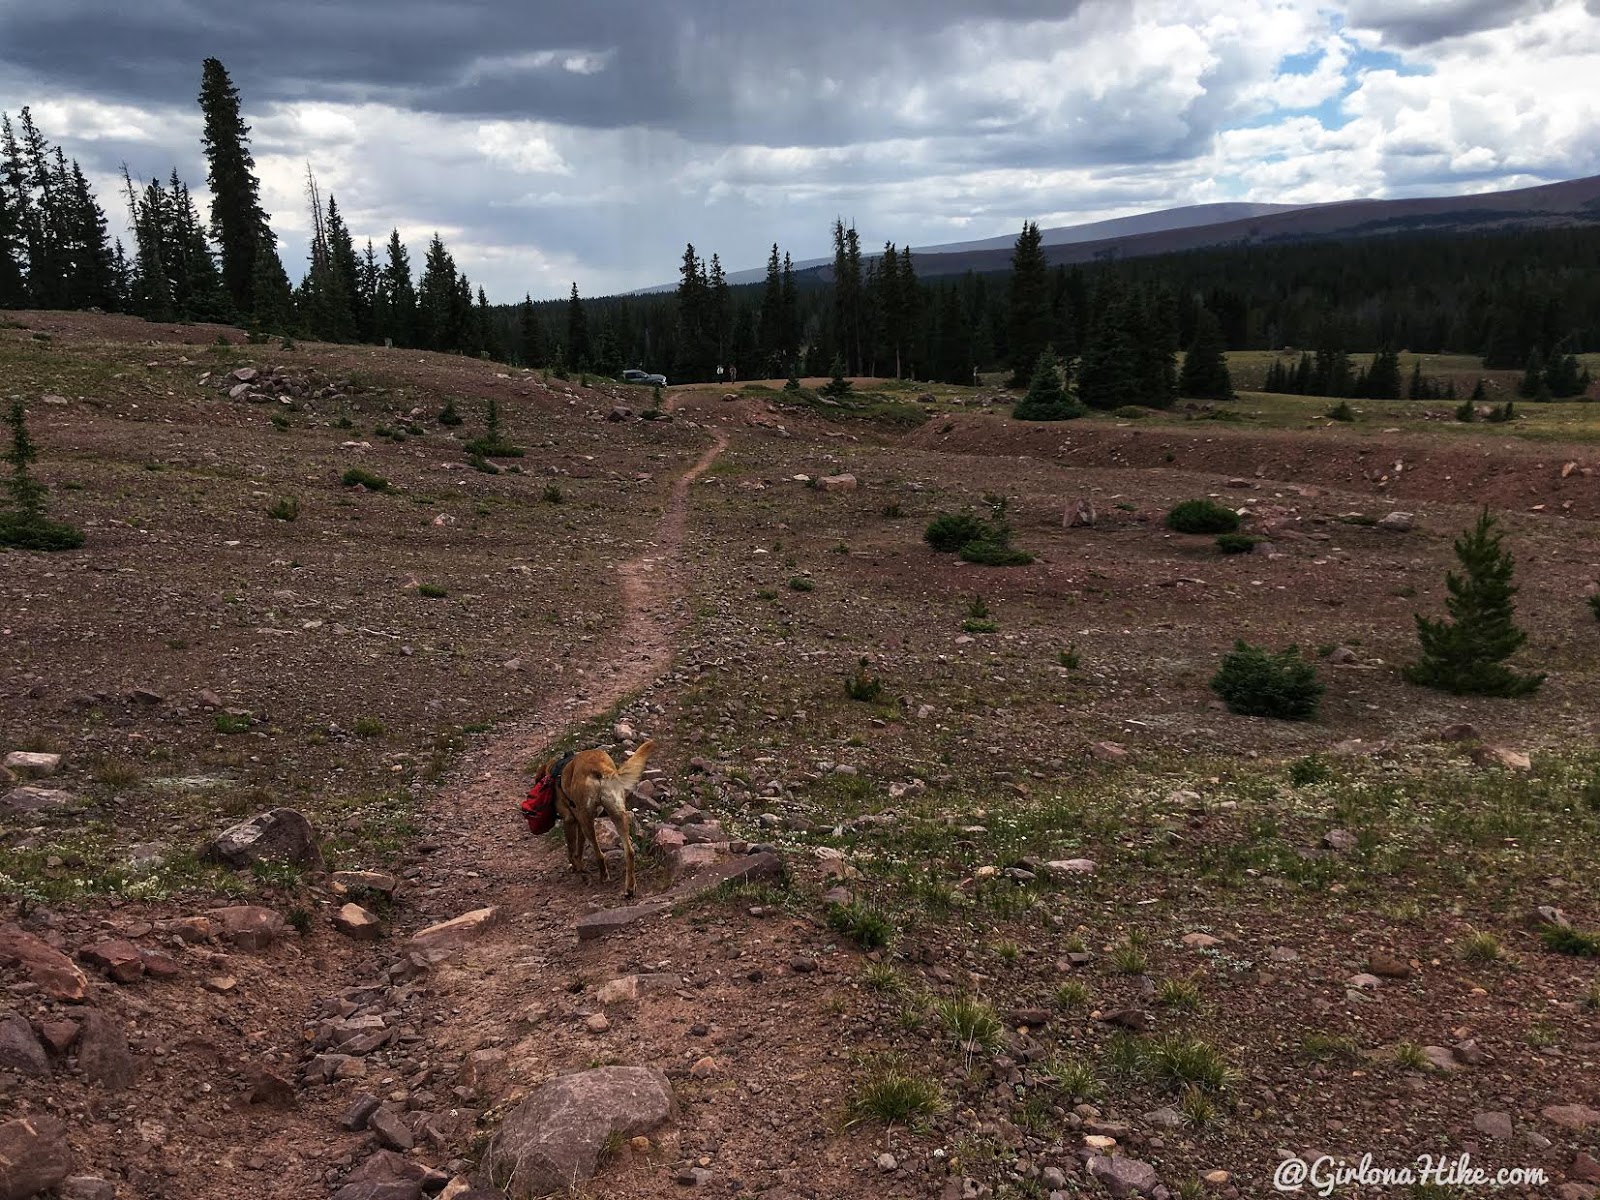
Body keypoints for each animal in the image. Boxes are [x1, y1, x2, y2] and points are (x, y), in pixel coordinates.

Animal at [540, 739, 652, 896]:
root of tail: (598, 768)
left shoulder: (570, 820)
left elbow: (571, 850)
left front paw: (577, 867)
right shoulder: (579, 823)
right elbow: (579, 848)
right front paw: (579, 864)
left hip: (588, 820)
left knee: (600, 854)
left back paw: (603, 876)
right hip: (617, 814)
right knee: (629, 852)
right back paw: (629, 887)